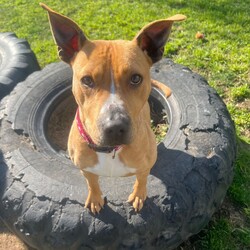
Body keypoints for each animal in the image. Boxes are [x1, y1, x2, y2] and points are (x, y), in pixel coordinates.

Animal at [40, 2, 186, 214]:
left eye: (136, 78)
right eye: (87, 80)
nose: (116, 127)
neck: (109, 151)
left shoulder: (144, 166)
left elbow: (142, 179)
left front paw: (139, 195)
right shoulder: (85, 168)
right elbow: (92, 183)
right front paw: (95, 198)